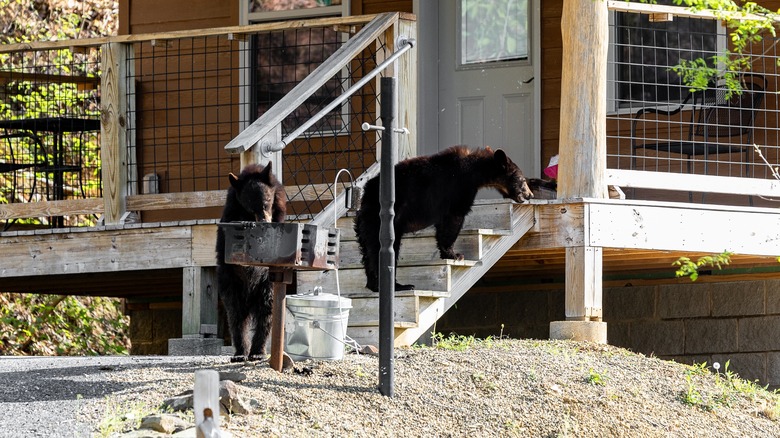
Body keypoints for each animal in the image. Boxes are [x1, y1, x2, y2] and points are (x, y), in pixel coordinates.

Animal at [213, 163, 286, 362]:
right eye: (250, 206)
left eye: (267, 200)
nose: (264, 222)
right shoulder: (230, 216)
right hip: (230, 283)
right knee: (236, 316)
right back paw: (240, 352)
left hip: (267, 284)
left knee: (266, 313)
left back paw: (258, 351)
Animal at [354, 145, 532, 292]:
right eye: (522, 180)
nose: (529, 195)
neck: (474, 171)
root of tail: (365, 196)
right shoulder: (457, 189)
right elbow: (453, 219)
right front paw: (455, 254)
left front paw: (447, 253)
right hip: (382, 221)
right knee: (382, 249)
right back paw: (398, 285)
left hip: (364, 225)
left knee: (367, 252)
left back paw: (374, 284)